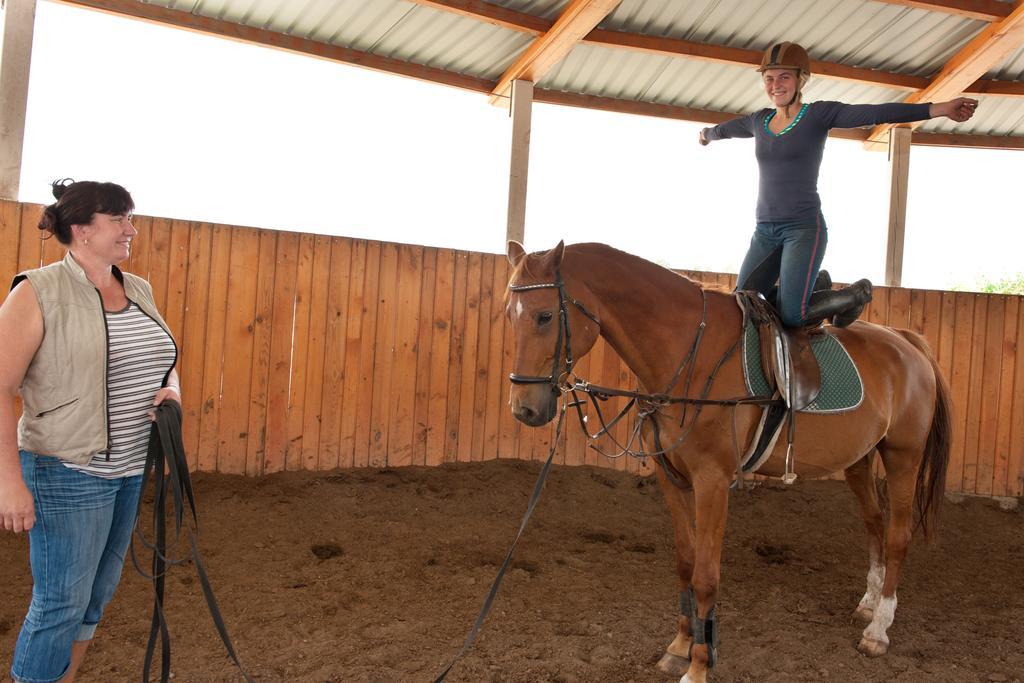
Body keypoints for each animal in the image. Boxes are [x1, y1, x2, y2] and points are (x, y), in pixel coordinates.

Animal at [503, 240, 950, 683]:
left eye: (545, 316)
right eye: (510, 314)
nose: (524, 409)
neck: (688, 352)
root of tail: (906, 342)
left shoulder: (713, 481)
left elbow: (706, 577)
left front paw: (698, 666)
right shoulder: (671, 477)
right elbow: (685, 563)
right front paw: (679, 648)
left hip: (903, 457)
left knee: (897, 536)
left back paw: (879, 629)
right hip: (859, 460)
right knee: (874, 523)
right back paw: (869, 603)